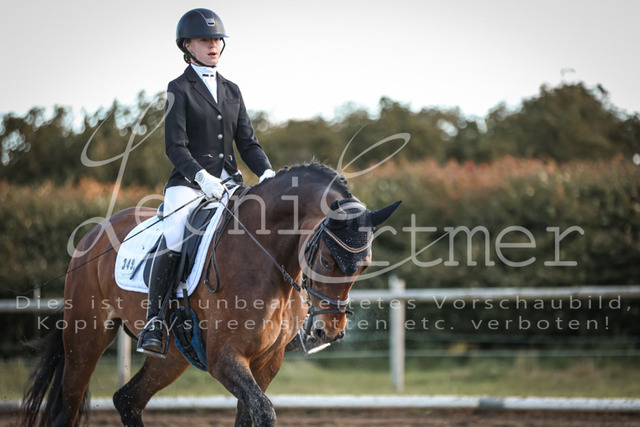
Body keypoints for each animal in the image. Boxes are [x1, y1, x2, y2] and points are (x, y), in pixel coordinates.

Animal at [19, 163, 400, 427]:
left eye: (365, 265)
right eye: (325, 260)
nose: (328, 331)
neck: (264, 256)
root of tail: (93, 233)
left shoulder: (267, 362)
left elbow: (250, 414)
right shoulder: (224, 359)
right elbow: (264, 412)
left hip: (171, 356)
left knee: (127, 400)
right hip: (85, 339)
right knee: (68, 408)